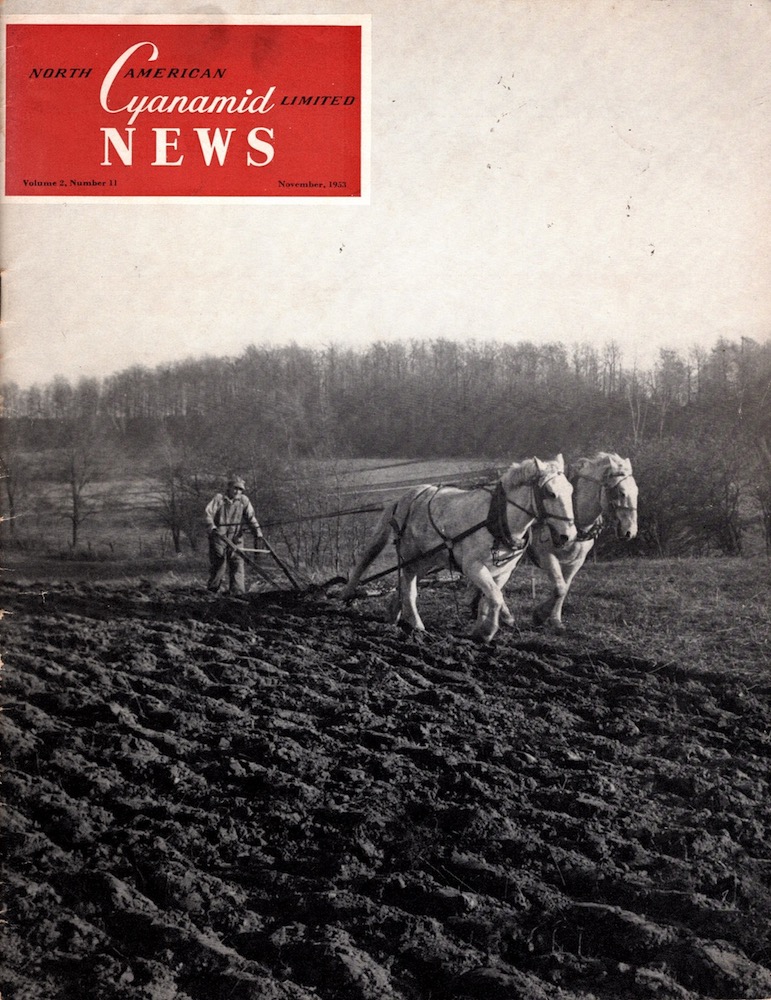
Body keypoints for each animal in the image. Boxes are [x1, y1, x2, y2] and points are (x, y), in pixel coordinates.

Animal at [340, 458, 576, 644]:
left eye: (571, 491)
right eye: (550, 493)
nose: (568, 536)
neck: (496, 519)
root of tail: (405, 497)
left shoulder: (502, 572)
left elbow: (489, 598)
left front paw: (480, 629)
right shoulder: (473, 567)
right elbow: (495, 597)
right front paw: (487, 632)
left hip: (425, 561)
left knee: (403, 584)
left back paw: (393, 614)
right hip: (410, 556)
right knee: (408, 588)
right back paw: (416, 623)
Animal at [532, 450, 640, 628]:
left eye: (636, 491)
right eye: (622, 492)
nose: (630, 532)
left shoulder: (577, 560)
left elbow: (564, 587)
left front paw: (554, 619)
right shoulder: (546, 556)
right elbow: (559, 587)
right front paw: (540, 614)